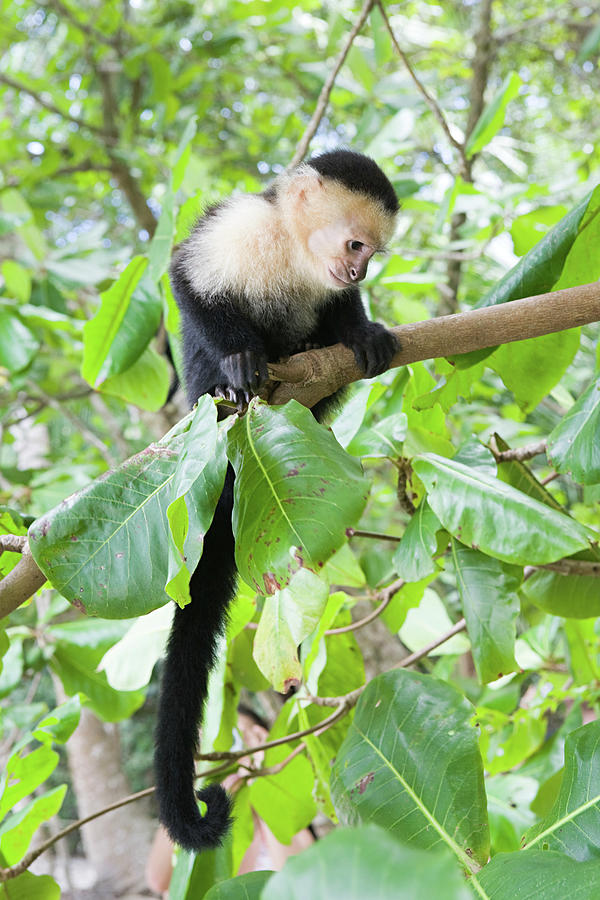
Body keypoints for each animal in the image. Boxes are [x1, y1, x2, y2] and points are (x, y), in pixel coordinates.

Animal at [155, 148, 398, 852]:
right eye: (356, 245)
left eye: (371, 255)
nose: (359, 269)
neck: (293, 250)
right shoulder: (243, 229)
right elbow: (188, 280)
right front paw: (240, 355)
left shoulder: (328, 284)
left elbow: (340, 310)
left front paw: (363, 332)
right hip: (203, 402)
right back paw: (239, 379)